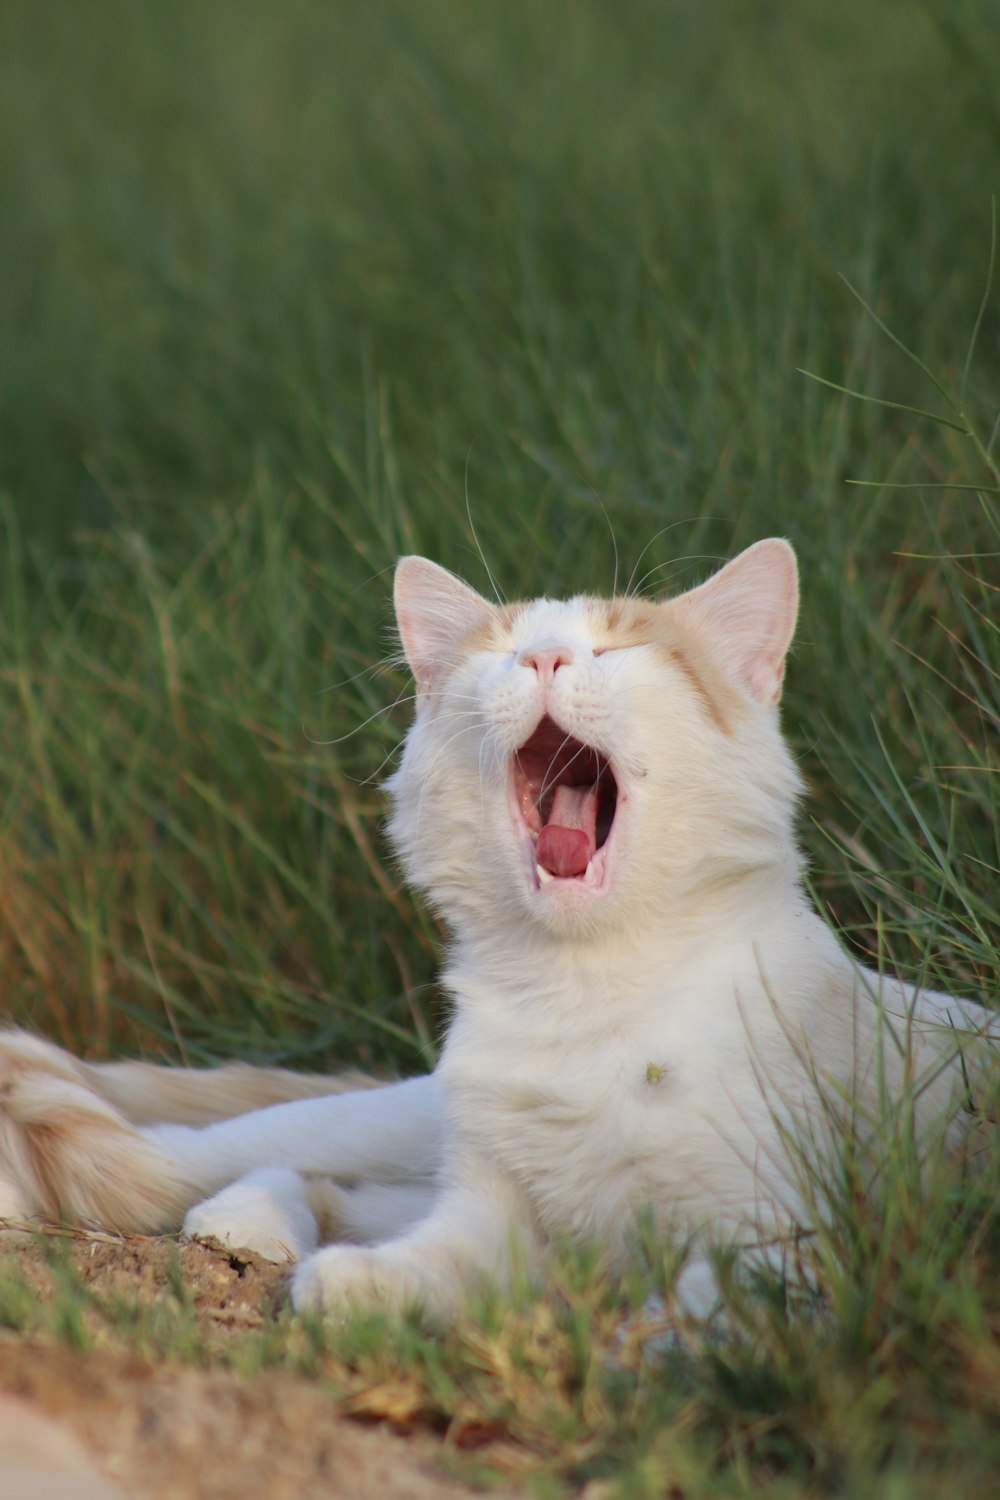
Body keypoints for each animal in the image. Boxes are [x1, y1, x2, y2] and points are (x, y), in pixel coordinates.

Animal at [0, 540, 995, 1314]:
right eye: (504, 648)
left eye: (619, 643)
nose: (546, 660)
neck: (582, 991)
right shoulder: (489, 1210)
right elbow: (437, 1257)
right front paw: (366, 1289)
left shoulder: (781, 1220)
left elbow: (718, 1300)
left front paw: (653, 1351)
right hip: (387, 1121)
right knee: (213, 1155)